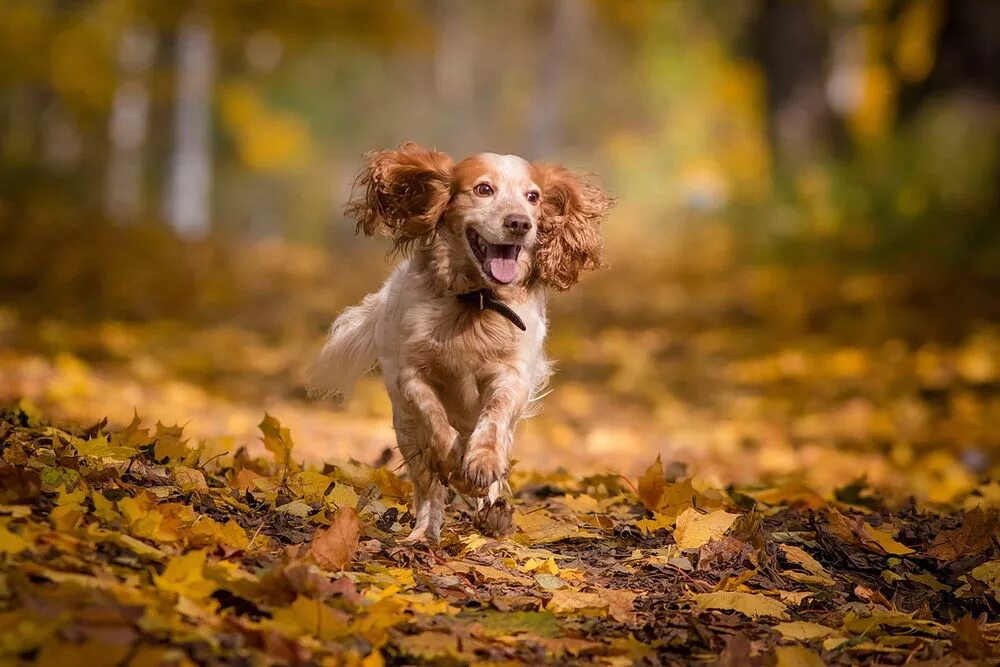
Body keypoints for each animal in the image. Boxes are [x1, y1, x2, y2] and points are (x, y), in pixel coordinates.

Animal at [308, 142, 612, 544]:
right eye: (484, 189)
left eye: (533, 196)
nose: (520, 223)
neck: (474, 302)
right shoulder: (411, 375)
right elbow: (436, 425)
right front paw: (454, 461)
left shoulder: (513, 375)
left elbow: (493, 420)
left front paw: (480, 464)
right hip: (405, 428)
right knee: (427, 487)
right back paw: (424, 531)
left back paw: (492, 512)